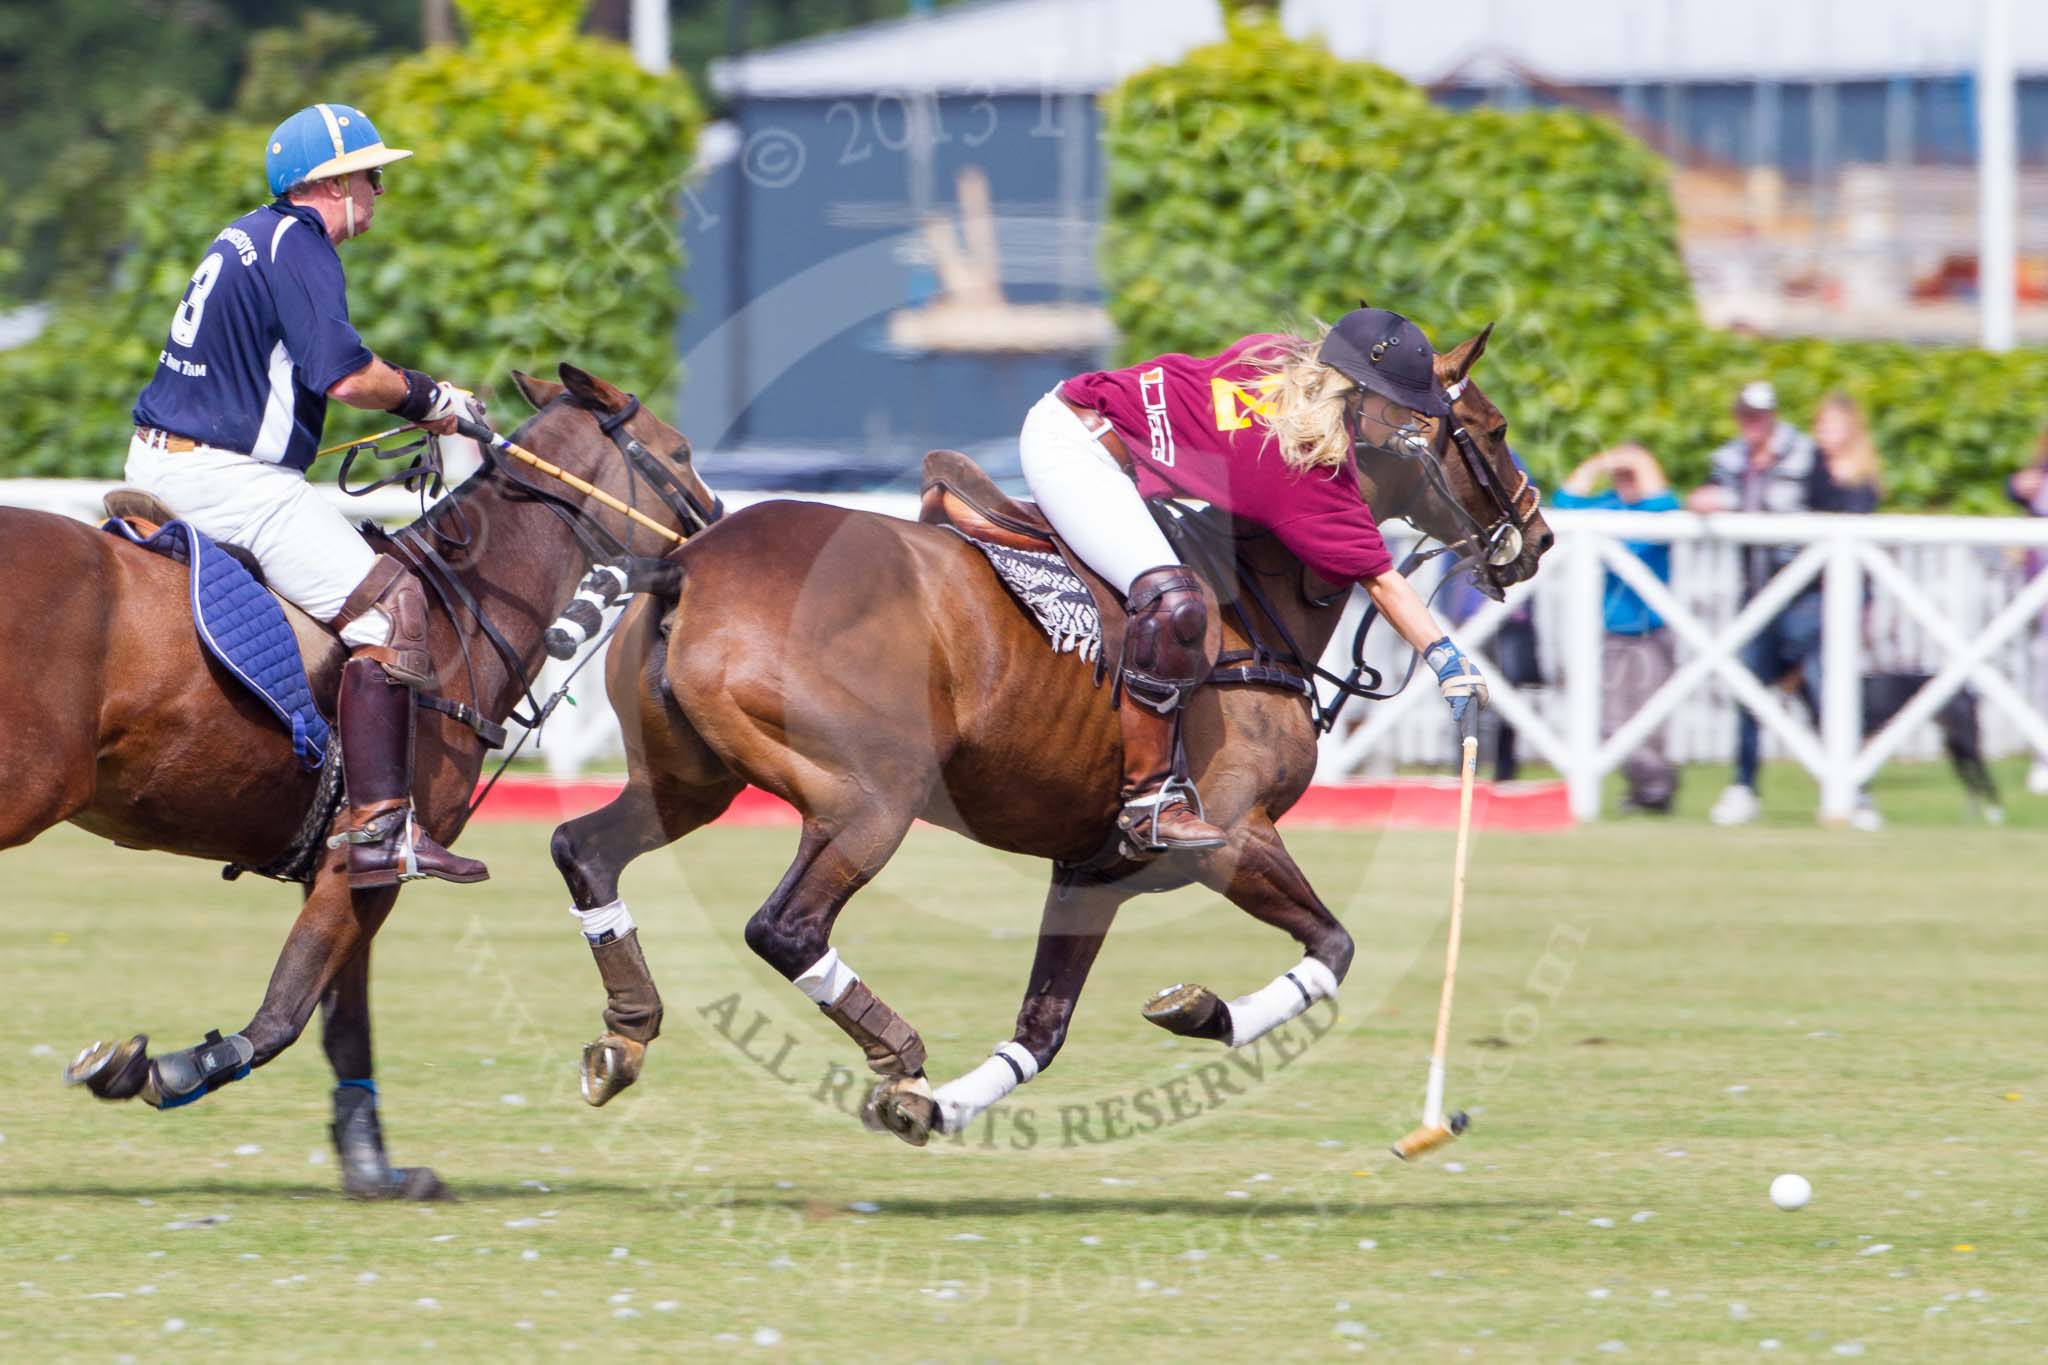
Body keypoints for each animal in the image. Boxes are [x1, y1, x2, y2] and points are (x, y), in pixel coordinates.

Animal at [0, 362, 720, 1195]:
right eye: (680, 450)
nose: (717, 525)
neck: (457, 613)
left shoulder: (354, 871)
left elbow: (342, 1020)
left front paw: (374, 1168)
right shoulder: (364, 857)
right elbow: (287, 1010)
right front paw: (166, 1067)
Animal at [552, 327, 1540, 1146]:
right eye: (1488, 428)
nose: (1537, 535)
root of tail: (686, 564)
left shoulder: (1093, 872)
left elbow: (1043, 1028)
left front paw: (936, 1110)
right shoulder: (1234, 833)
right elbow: (1334, 949)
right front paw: (1203, 1010)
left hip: (689, 780)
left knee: (582, 848)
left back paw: (626, 1036)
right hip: (871, 797)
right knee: (784, 926)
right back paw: (893, 1045)